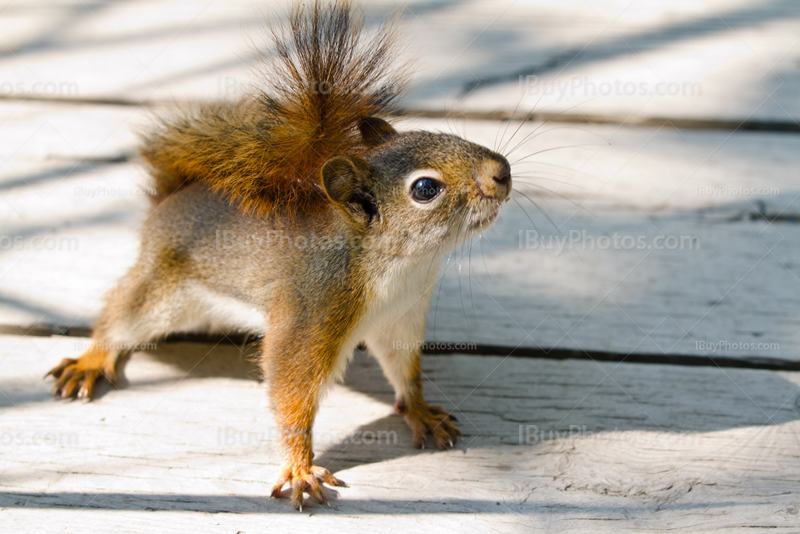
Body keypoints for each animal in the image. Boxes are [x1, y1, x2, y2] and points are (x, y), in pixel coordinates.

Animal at [47, 0, 512, 512]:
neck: (404, 267)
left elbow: (403, 371)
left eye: (440, 131)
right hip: (162, 289)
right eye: (425, 188)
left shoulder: (399, 319)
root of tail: (172, 199)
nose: (502, 172)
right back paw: (92, 358)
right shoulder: (311, 311)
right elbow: (292, 388)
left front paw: (421, 411)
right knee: (122, 314)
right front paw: (300, 467)